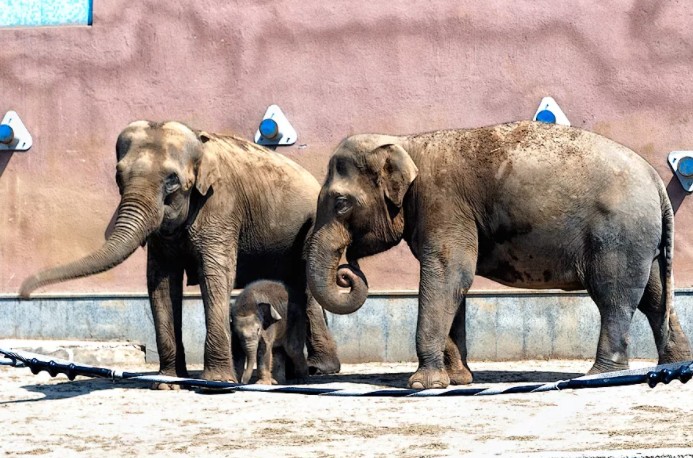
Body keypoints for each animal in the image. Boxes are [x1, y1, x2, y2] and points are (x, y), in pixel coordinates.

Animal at [18, 119, 338, 386]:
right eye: (118, 176)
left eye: (171, 180)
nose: (24, 294)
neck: (199, 139)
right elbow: (161, 282)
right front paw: (168, 383)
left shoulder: (221, 205)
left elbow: (214, 275)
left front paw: (216, 383)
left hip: (311, 226)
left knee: (305, 285)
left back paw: (316, 371)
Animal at [308, 120, 692, 388]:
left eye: (341, 204)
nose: (347, 271)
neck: (406, 141)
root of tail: (656, 181)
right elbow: (454, 284)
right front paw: (459, 380)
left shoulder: (442, 203)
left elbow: (448, 275)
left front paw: (422, 384)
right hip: (639, 238)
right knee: (655, 295)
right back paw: (671, 367)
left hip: (618, 233)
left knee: (614, 297)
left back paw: (597, 375)